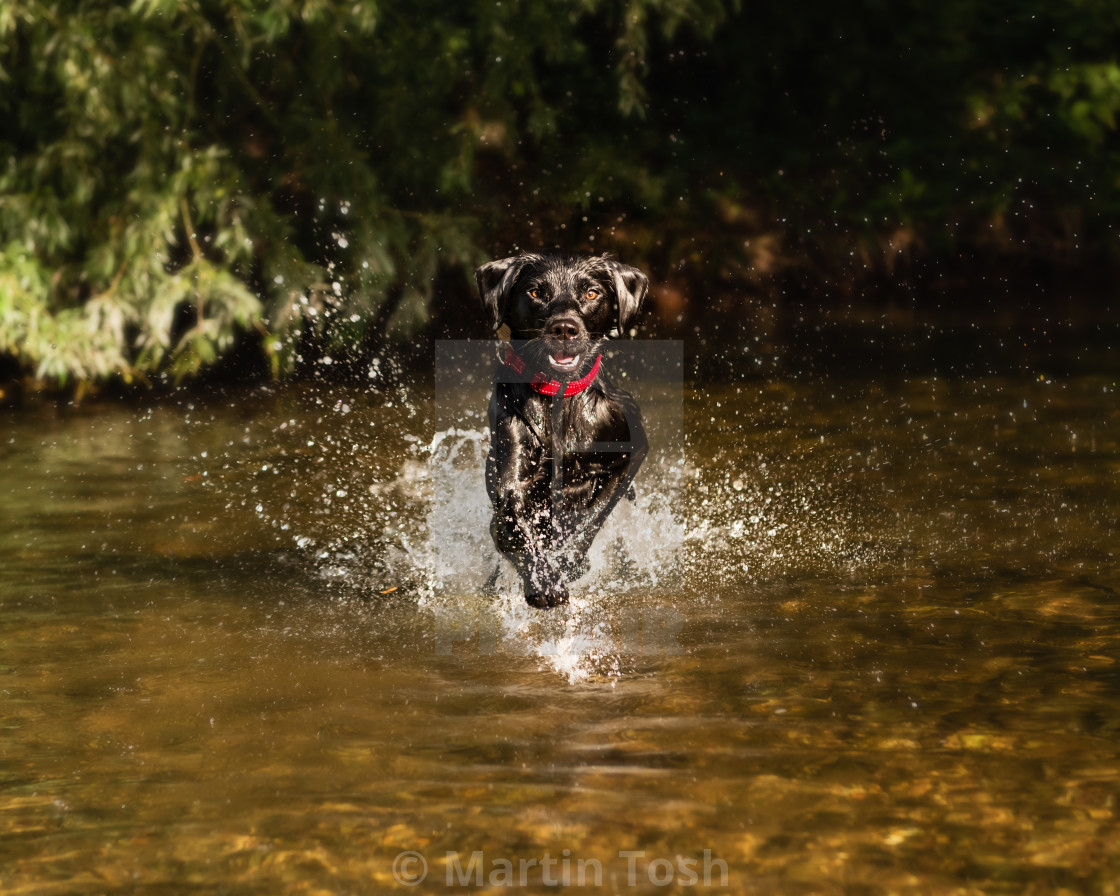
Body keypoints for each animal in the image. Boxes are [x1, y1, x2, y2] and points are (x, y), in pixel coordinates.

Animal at [472, 252, 649, 609]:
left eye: (592, 293)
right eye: (536, 292)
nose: (564, 328)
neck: (560, 398)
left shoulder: (633, 450)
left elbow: (595, 513)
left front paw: (569, 562)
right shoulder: (510, 479)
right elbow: (510, 527)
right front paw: (543, 582)